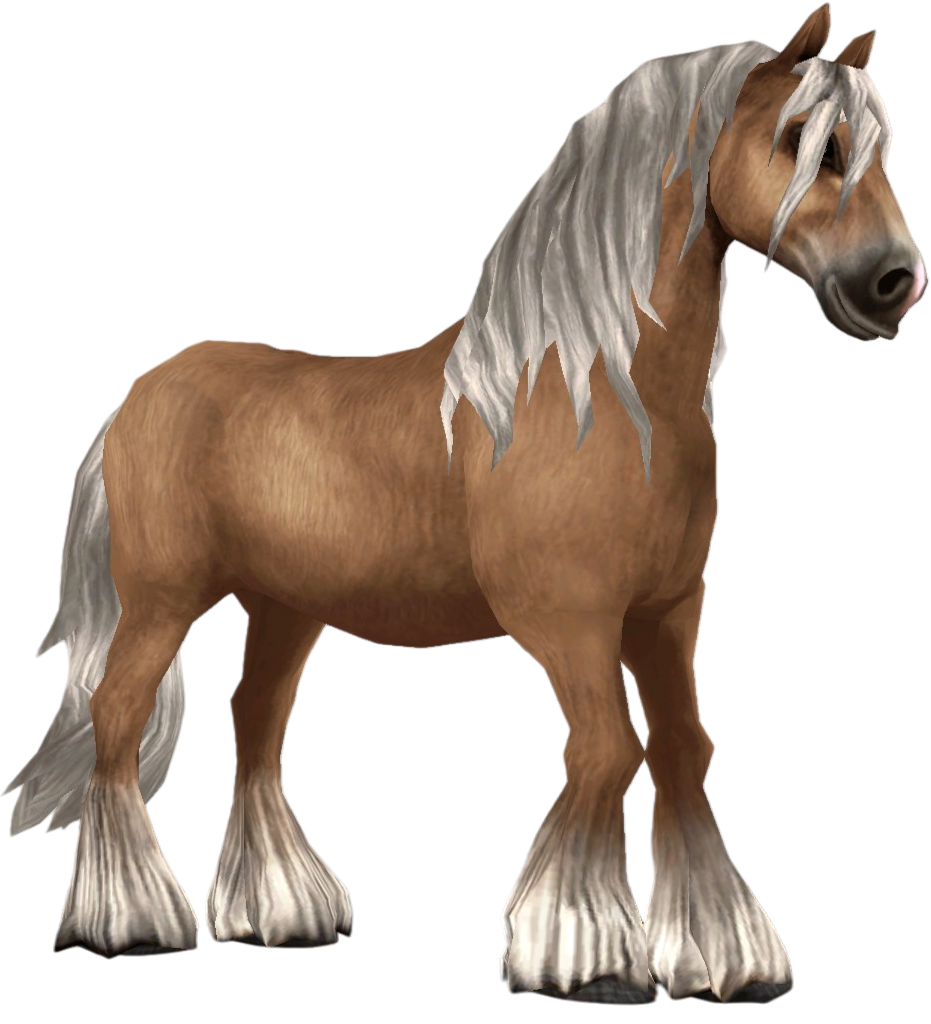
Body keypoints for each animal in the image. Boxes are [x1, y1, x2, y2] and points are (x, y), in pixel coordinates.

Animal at [4, 2, 923, 1003]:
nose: (893, 282)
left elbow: (685, 749)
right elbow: (607, 752)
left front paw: (723, 955)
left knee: (255, 722)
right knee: (118, 720)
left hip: (286, 607)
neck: (597, 392)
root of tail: (138, 396)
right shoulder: (567, 623)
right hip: (163, 601)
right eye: (801, 143)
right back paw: (132, 921)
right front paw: (577, 952)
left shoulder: (668, 614)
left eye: (876, 152)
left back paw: (279, 913)